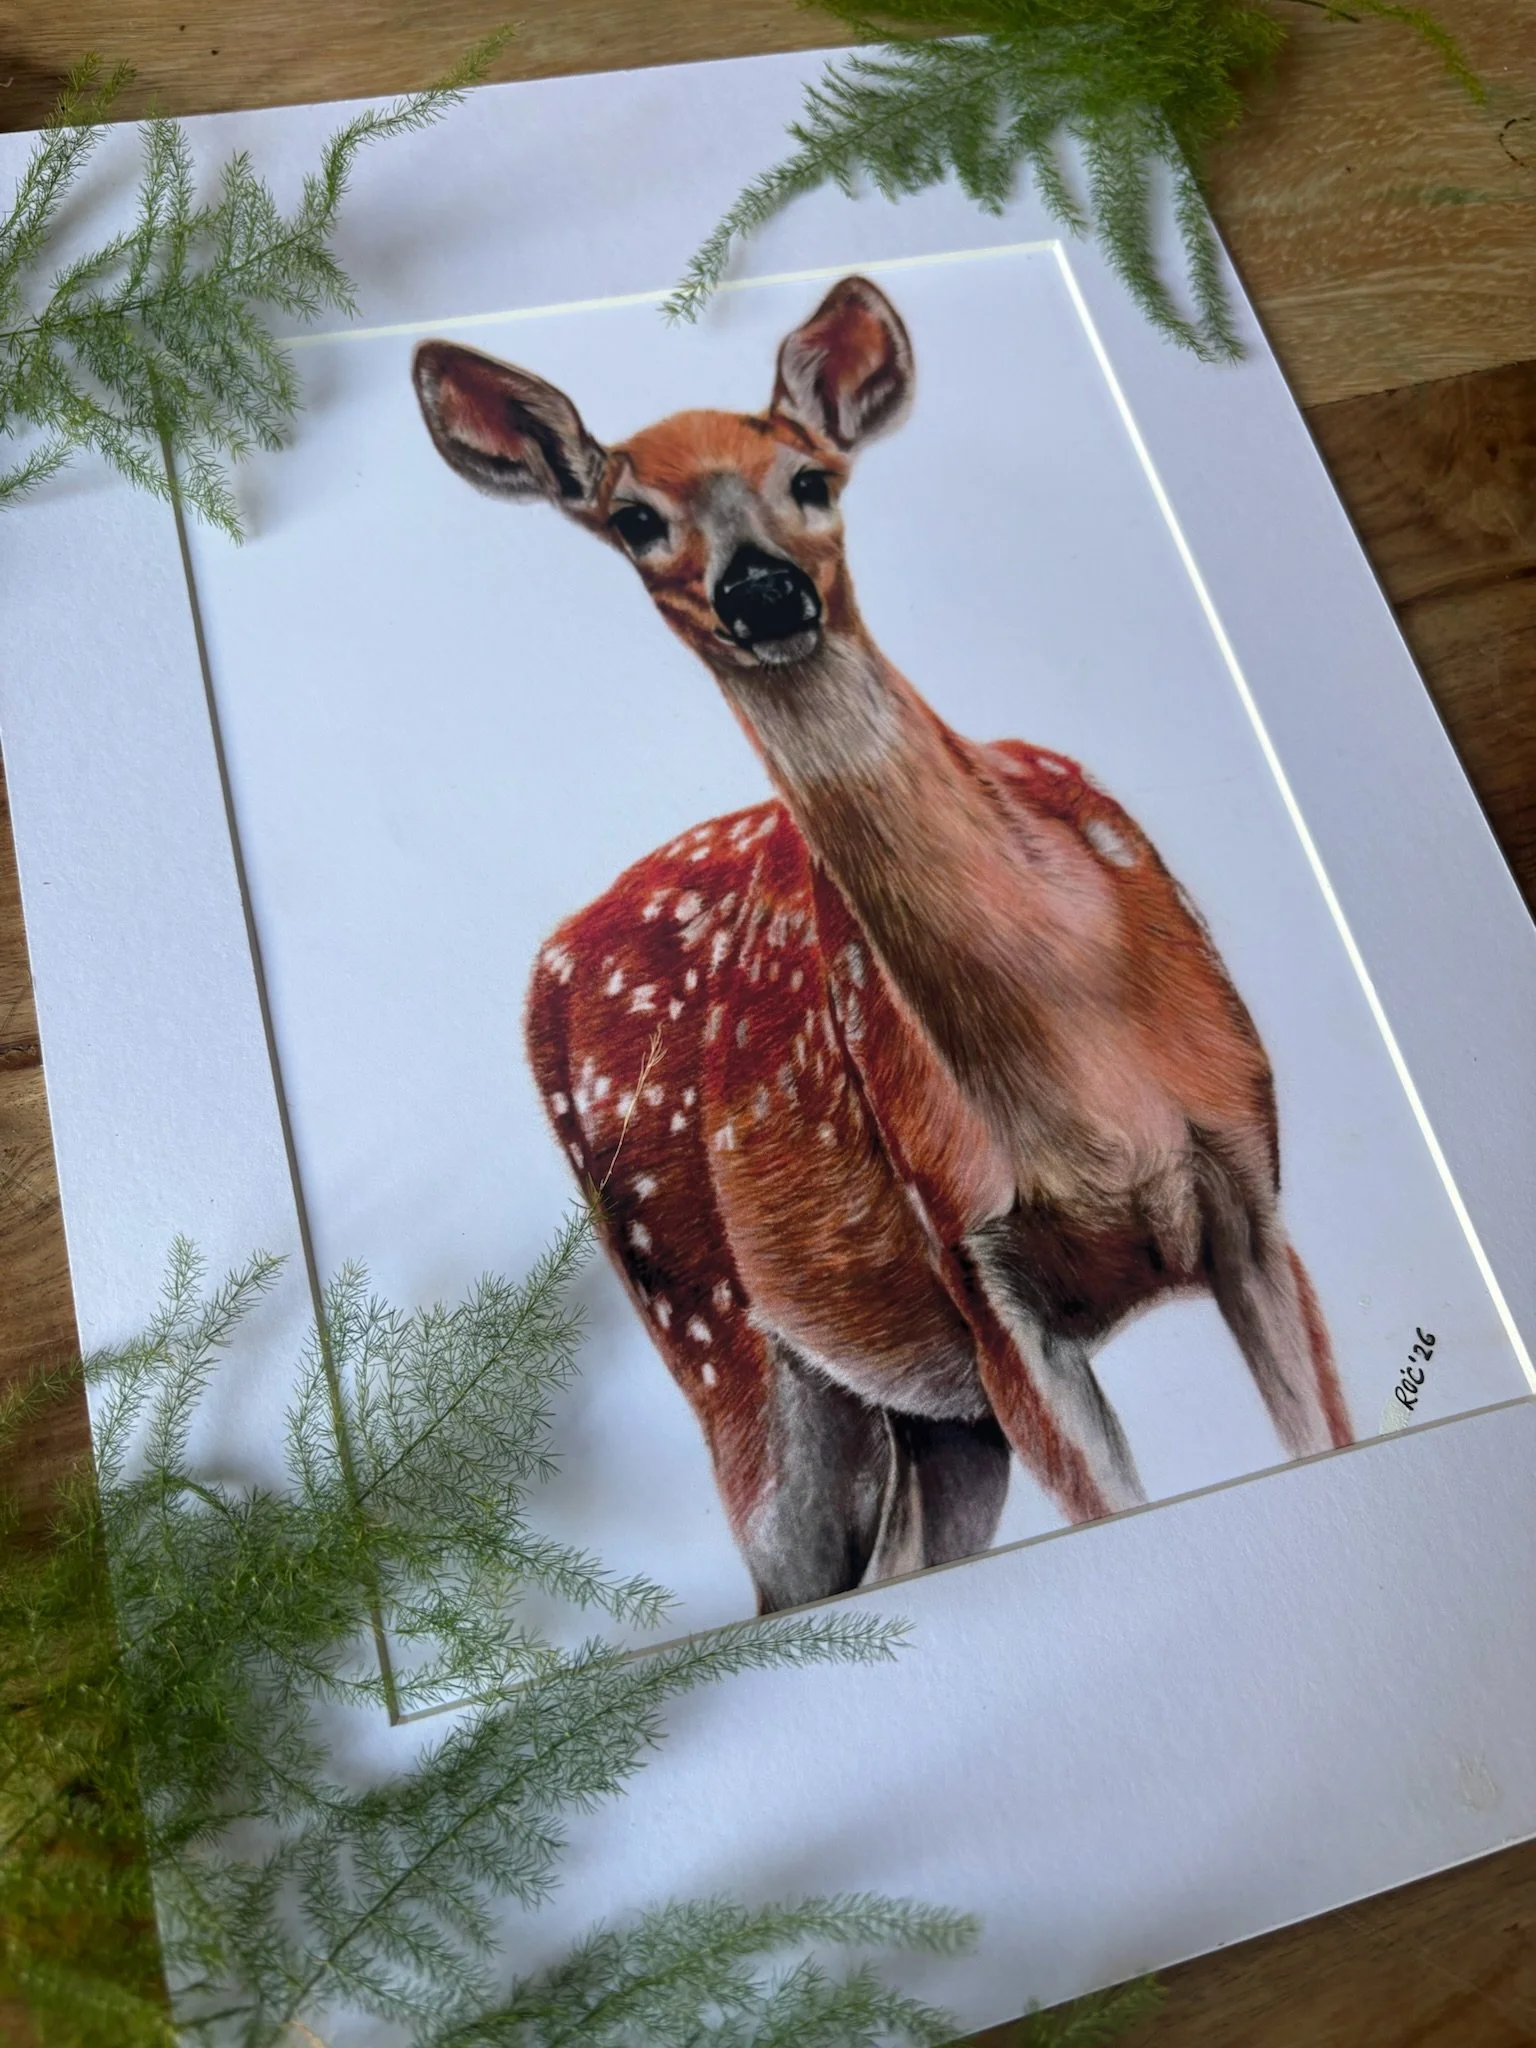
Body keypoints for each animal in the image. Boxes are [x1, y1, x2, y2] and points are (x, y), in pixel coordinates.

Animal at [412, 275, 1353, 1615]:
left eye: (810, 477)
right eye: (635, 518)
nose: (761, 591)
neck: (1094, 1076)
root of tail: (544, 968)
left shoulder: (1251, 1193)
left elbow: (1317, 1428)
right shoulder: (975, 1263)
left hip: (922, 1412)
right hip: (720, 1337)